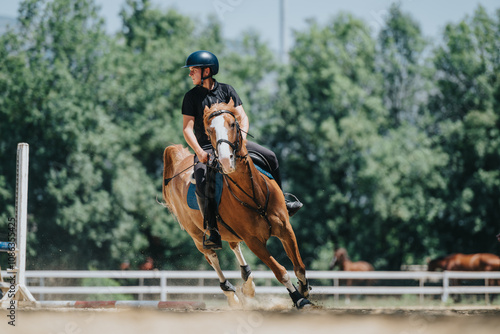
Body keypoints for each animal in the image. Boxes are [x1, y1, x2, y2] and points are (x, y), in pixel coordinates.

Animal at [162, 99, 310, 308]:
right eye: (210, 129)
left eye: (233, 124)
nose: (225, 160)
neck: (253, 196)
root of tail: (180, 162)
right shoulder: (254, 242)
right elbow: (280, 271)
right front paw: (298, 299)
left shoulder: (285, 229)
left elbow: (299, 266)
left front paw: (304, 289)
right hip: (197, 234)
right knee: (212, 257)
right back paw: (231, 293)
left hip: (228, 231)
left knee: (234, 246)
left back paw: (248, 282)